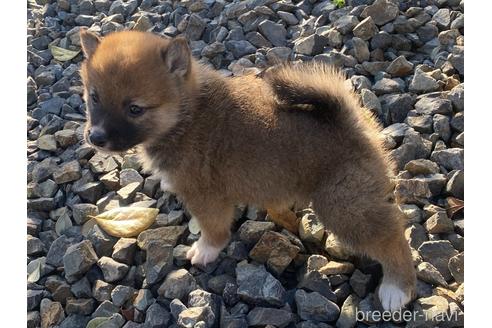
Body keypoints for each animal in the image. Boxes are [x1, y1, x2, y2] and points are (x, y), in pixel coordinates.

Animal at [80, 30, 416, 310]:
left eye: (135, 109)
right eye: (94, 97)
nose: (95, 137)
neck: (185, 116)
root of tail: (352, 124)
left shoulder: (206, 197)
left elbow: (214, 230)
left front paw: (206, 250)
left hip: (342, 206)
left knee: (391, 238)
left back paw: (397, 287)